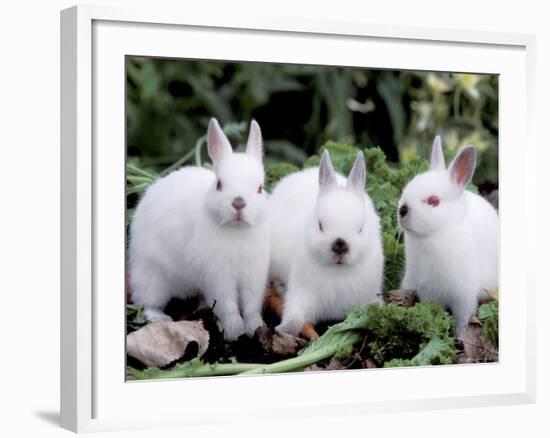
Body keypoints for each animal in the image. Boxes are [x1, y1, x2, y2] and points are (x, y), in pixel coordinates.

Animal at [127, 118, 270, 340]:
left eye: (260, 188)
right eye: (219, 184)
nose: (238, 203)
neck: (236, 231)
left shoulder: (253, 275)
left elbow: (251, 306)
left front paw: (255, 328)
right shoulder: (217, 276)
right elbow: (227, 306)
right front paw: (234, 332)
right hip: (151, 274)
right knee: (146, 301)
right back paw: (159, 317)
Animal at [270, 151, 384, 336]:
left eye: (360, 228)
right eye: (320, 225)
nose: (340, 244)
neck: (337, 272)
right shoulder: (301, 293)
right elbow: (294, 314)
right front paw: (285, 328)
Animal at [398, 137, 502, 336]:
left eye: (434, 201)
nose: (402, 210)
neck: (436, 234)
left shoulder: (463, 294)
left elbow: (463, 317)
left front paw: (459, 335)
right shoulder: (427, 291)